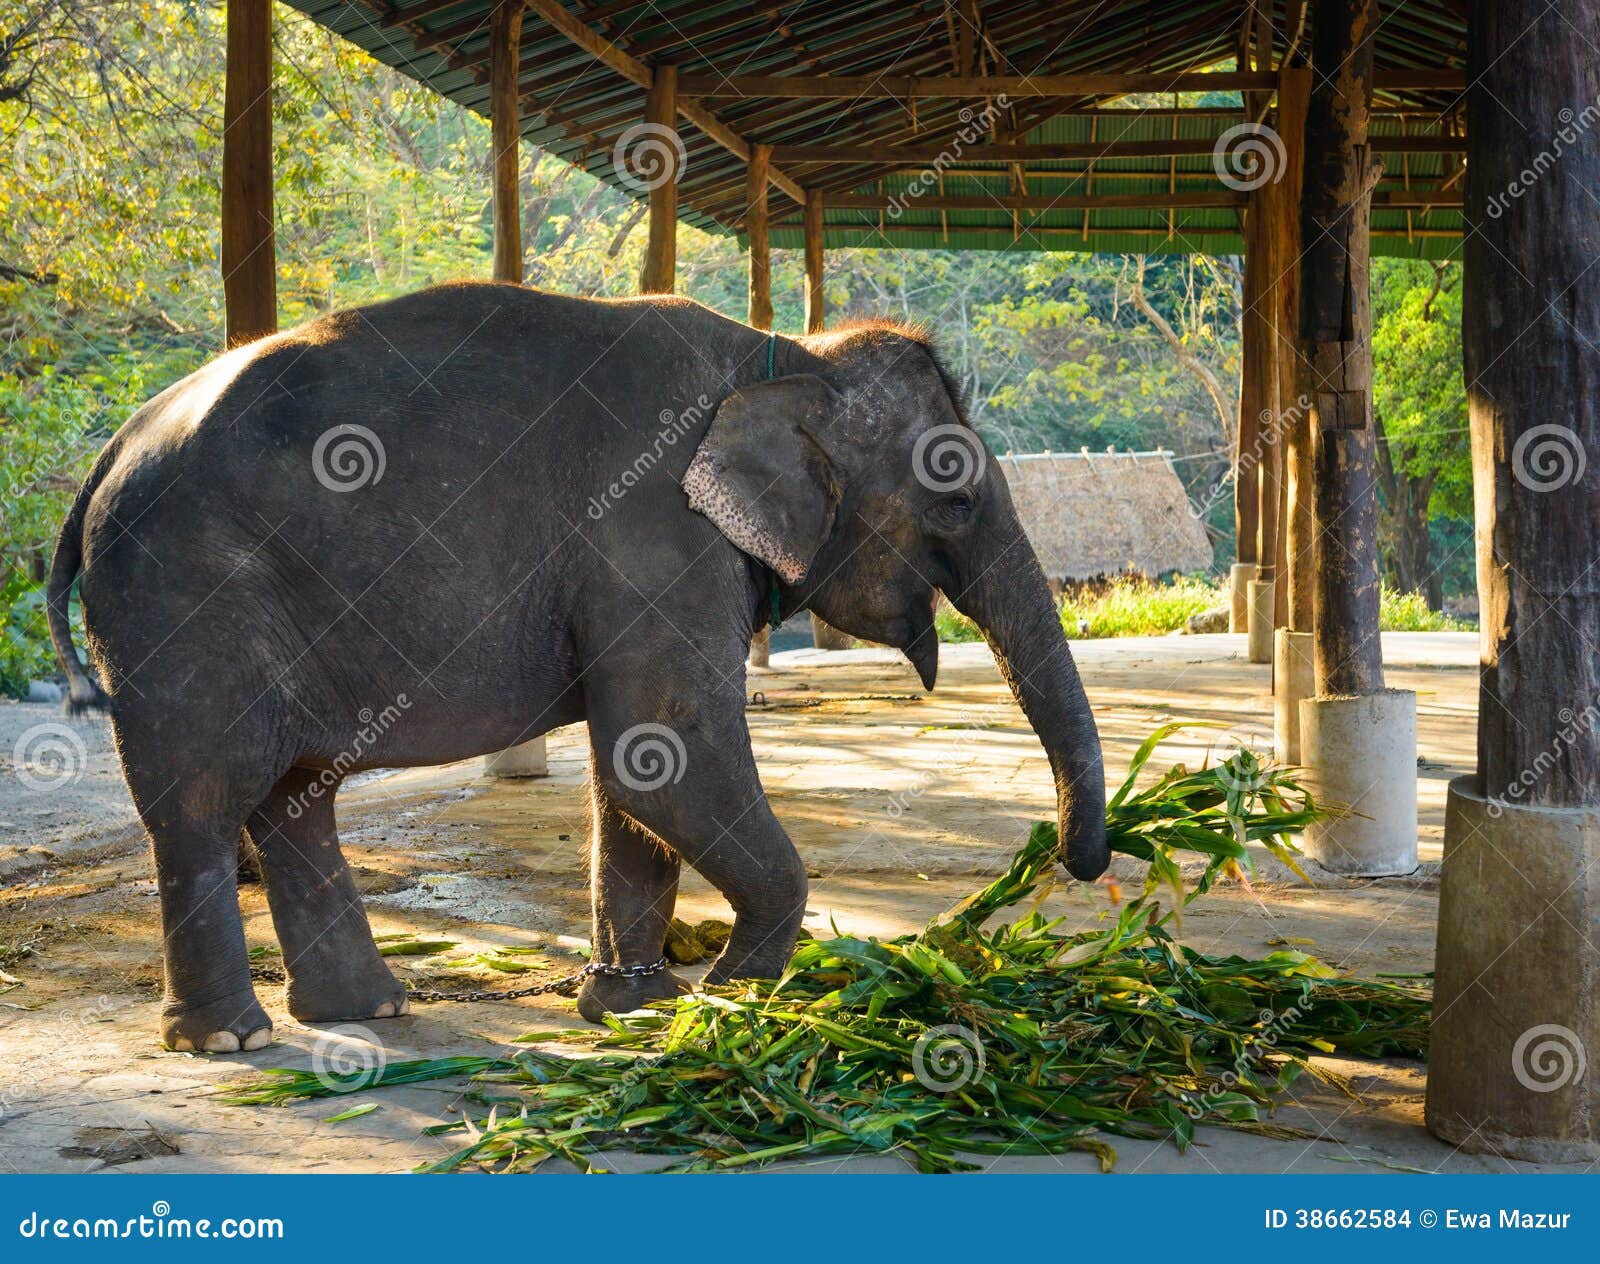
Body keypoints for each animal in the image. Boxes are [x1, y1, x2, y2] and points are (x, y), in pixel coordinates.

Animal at [46, 282, 1107, 1053]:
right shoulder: (653, 534)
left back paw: (366, 1013)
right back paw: (231, 1041)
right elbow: (672, 762)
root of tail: (102, 462)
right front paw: (740, 994)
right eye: (957, 499)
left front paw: (638, 1009)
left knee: (296, 797)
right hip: (183, 607)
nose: (1070, 865)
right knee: (200, 804)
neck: (784, 357)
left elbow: (632, 772)